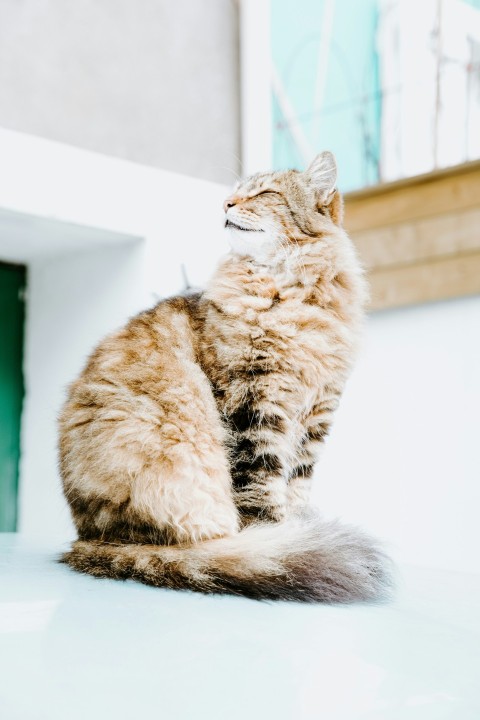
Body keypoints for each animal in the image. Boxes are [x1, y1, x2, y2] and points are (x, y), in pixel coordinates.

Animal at [60, 152, 392, 600]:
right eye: (235, 192)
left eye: (265, 192)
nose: (226, 204)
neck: (294, 297)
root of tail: (91, 537)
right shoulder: (254, 405)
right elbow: (261, 491)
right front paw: (279, 541)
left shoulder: (316, 418)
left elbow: (296, 491)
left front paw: (298, 531)